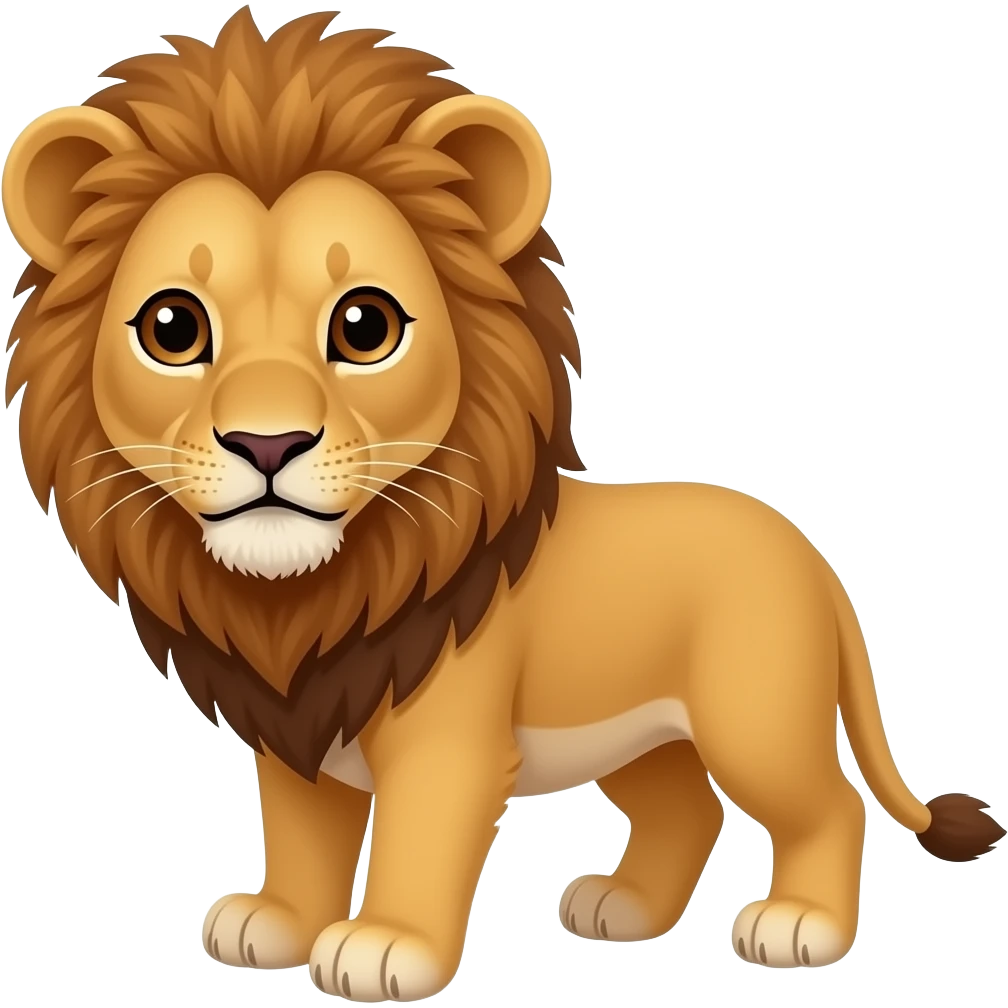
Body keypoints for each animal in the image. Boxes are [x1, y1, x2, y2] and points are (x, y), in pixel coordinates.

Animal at [2, 6, 1003, 998]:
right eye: (173, 328)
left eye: (364, 326)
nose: (269, 444)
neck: (308, 594)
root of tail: (810, 554)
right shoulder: (299, 730)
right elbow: (299, 834)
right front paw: (277, 923)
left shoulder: (449, 742)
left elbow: (417, 839)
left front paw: (386, 946)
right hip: (640, 734)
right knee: (687, 808)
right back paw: (623, 908)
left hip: (751, 713)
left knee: (829, 804)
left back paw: (802, 927)